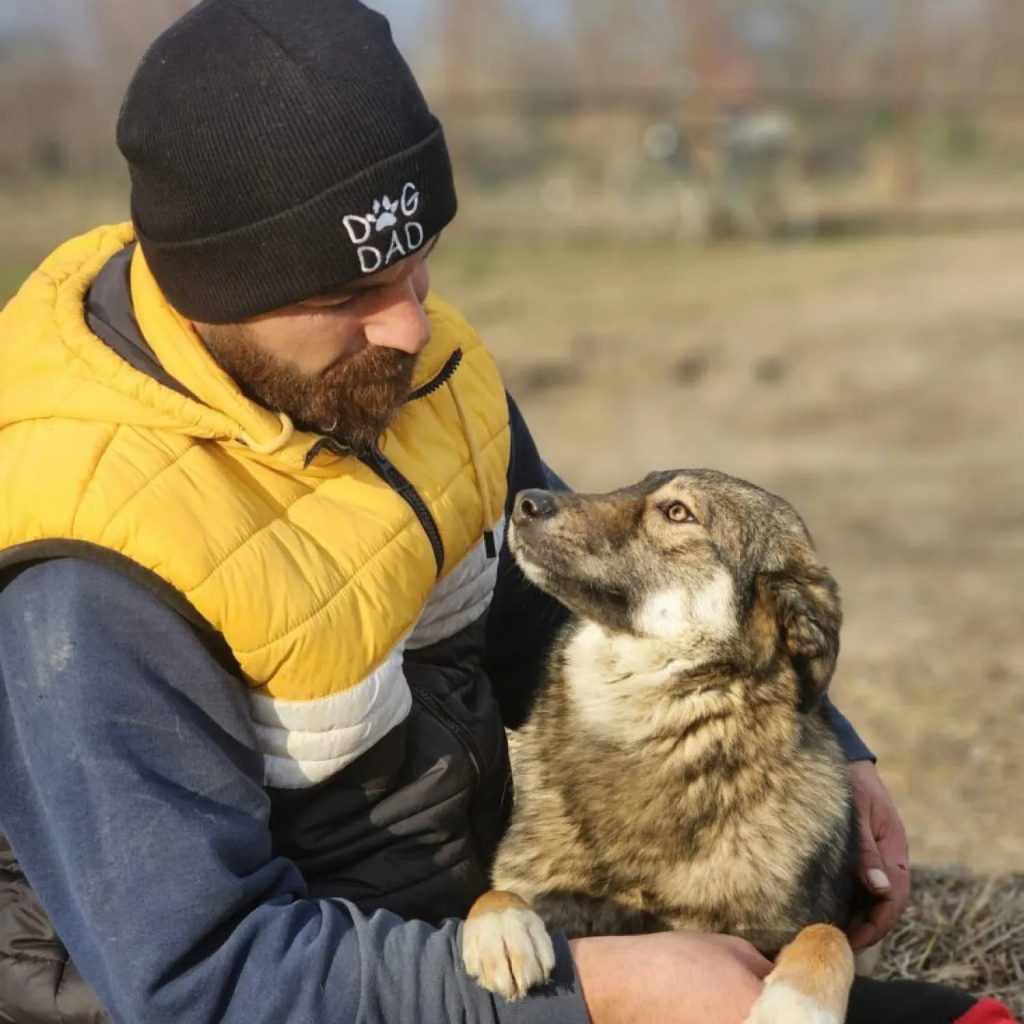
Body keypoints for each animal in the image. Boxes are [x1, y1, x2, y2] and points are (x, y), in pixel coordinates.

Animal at [462, 469, 862, 1022]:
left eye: (677, 512)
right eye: (636, 484)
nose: (523, 501)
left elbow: (827, 935)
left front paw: (795, 1006)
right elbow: (494, 894)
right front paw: (502, 929)